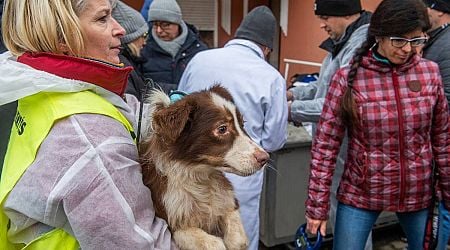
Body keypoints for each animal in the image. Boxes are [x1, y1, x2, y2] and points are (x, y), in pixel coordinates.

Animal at [139, 85, 268, 249]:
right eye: (222, 129)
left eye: (242, 124)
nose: (265, 158)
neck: (200, 176)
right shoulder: (170, 218)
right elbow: (209, 242)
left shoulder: (228, 200)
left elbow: (237, 235)